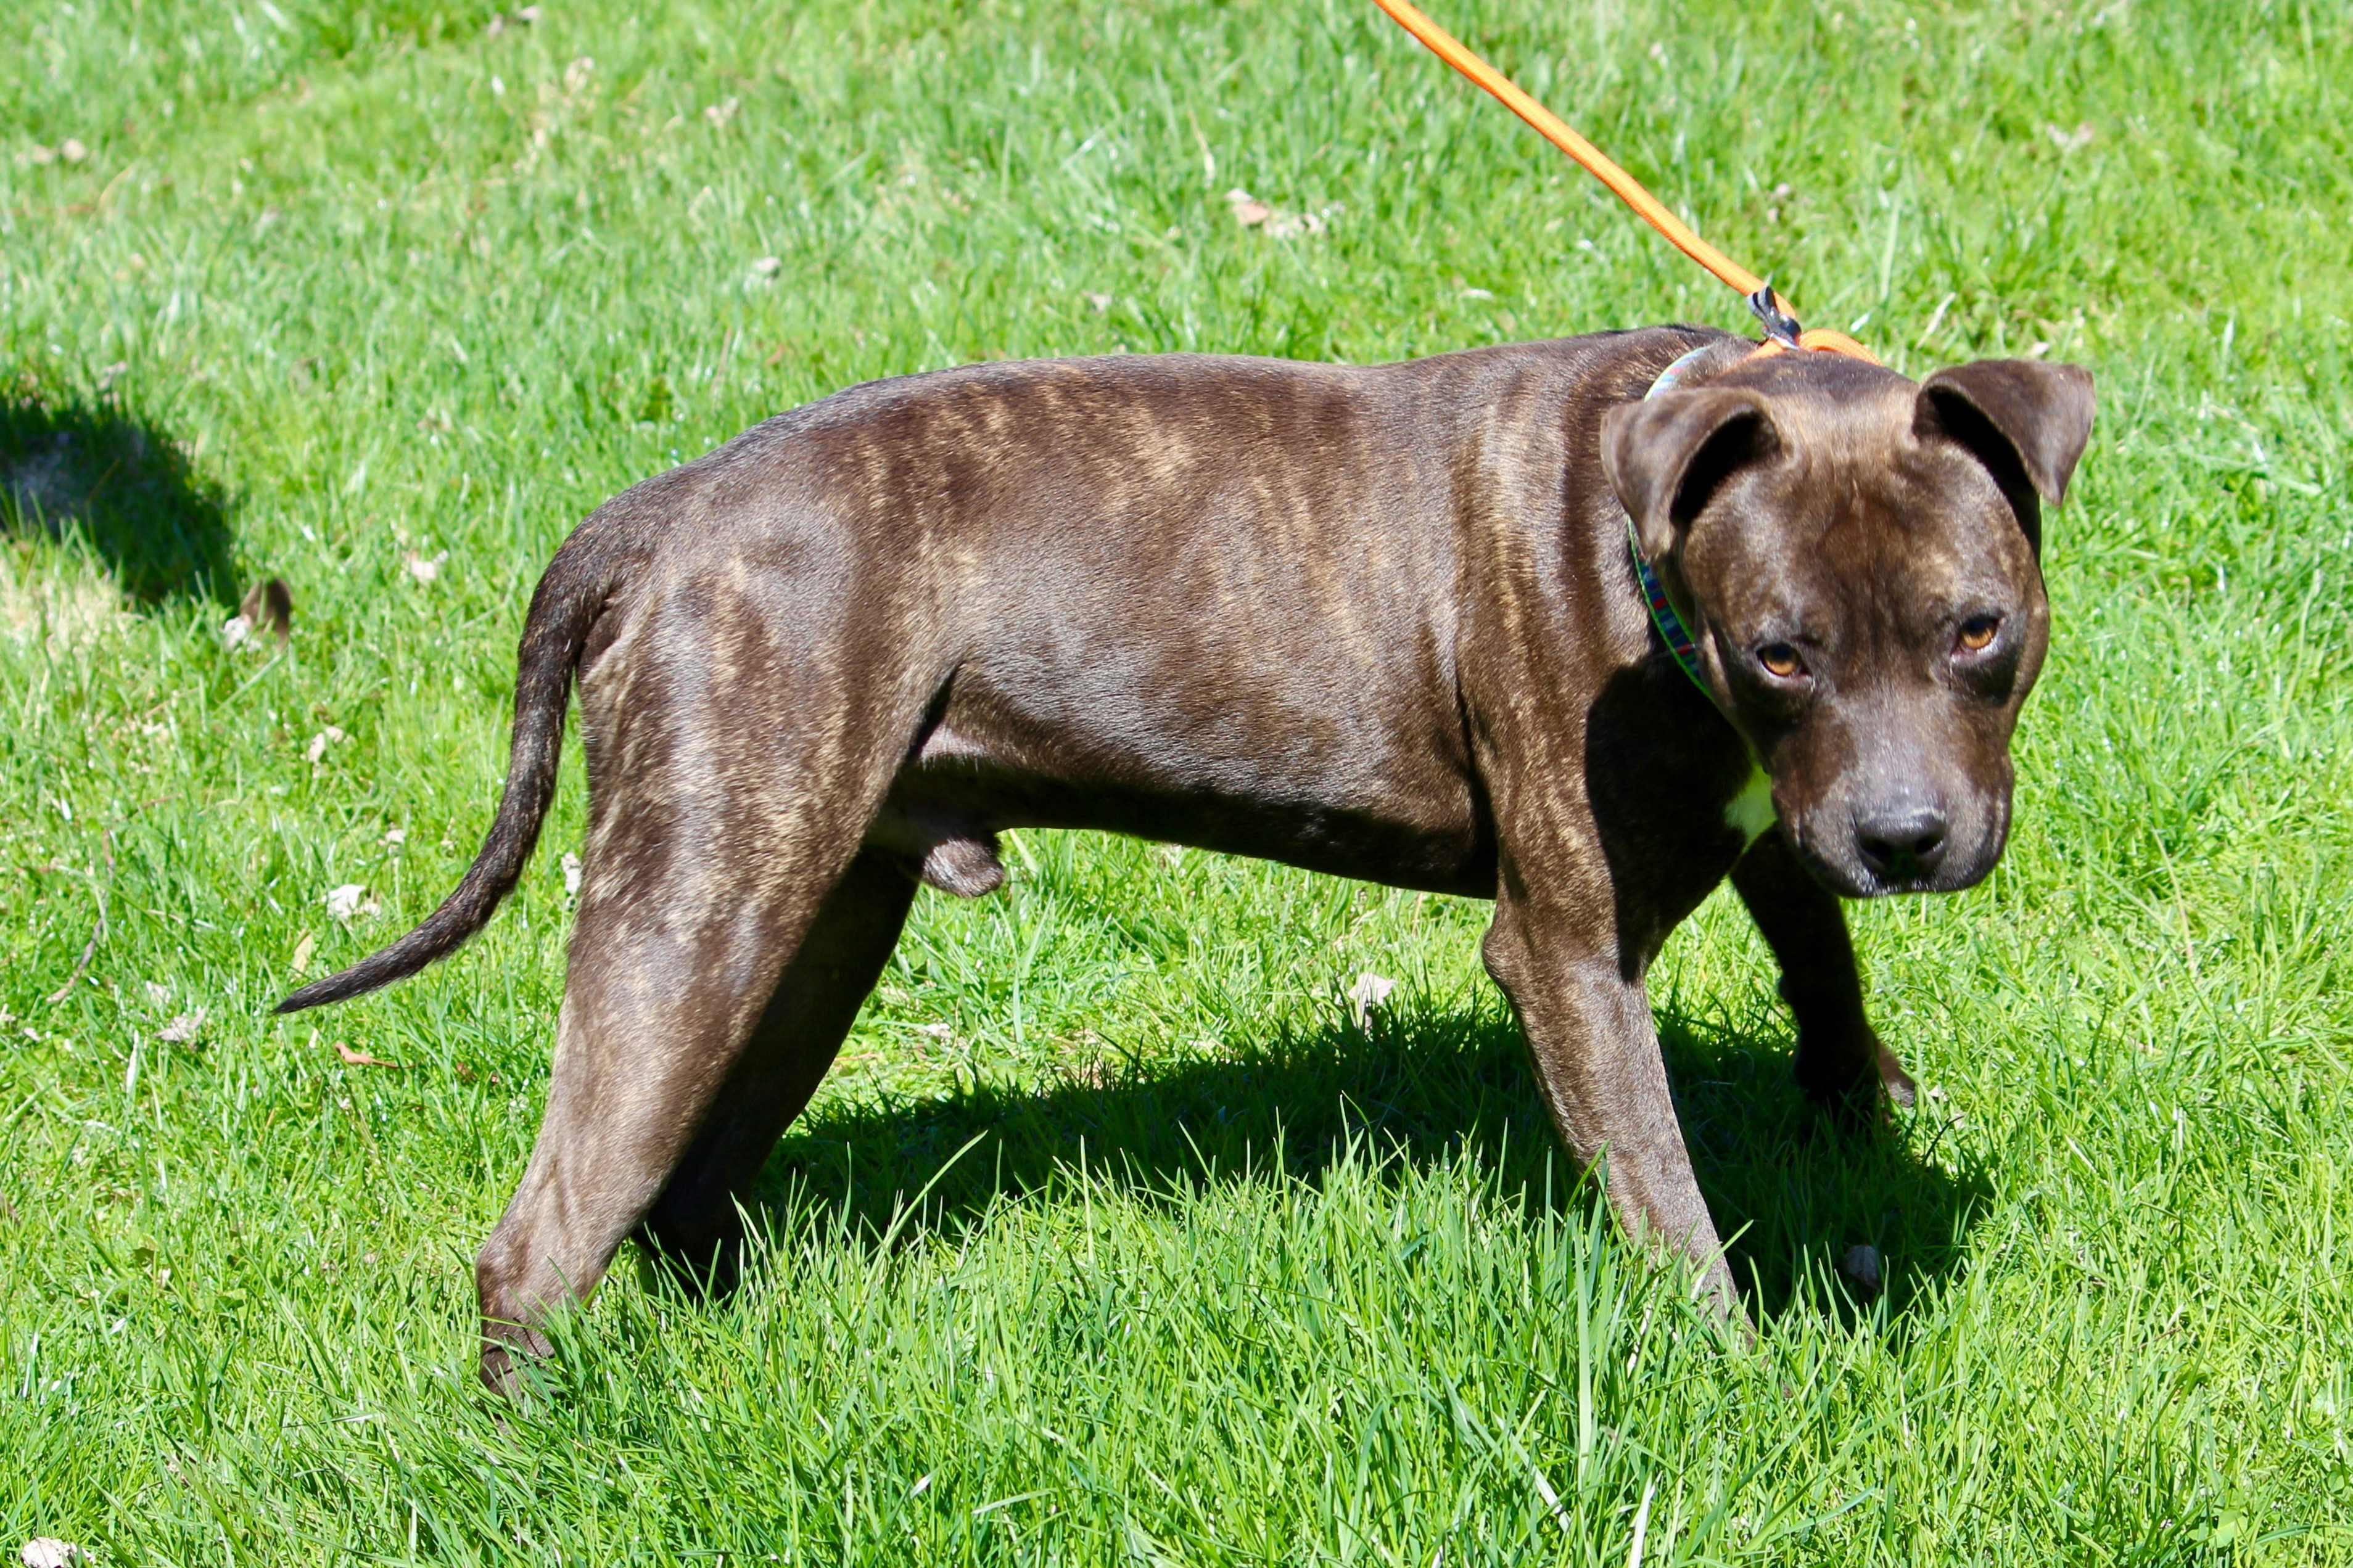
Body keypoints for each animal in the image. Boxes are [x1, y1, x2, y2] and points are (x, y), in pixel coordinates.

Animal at [279, 329, 2098, 1382]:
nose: (1906, 835)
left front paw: (1860, 1102)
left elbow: (1817, 952)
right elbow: (1663, 1198)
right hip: (701, 907)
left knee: (683, 1181)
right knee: (543, 1235)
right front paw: (1737, 1371)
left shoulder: (1773, 822)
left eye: (1976, 627)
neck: (1644, 519)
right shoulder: (1570, 953)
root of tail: (664, 509)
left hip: (811, 916)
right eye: (1779, 647)